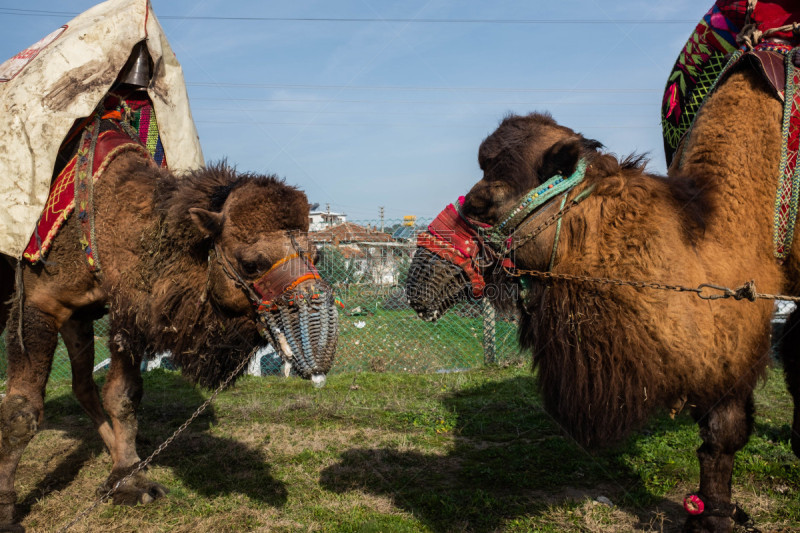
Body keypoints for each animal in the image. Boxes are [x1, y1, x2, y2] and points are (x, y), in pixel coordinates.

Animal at [0, 116, 338, 528]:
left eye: (316, 256)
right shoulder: (38, 304)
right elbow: (22, 409)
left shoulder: (123, 306)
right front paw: (6, 509)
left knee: (83, 385)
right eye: (251, 263)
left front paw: (128, 479)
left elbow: (122, 395)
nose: (313, 305)